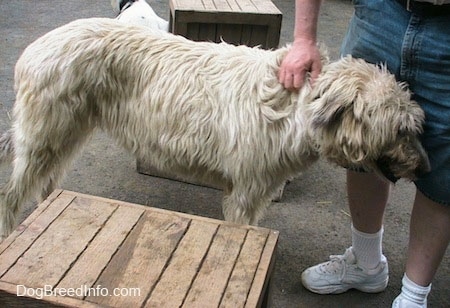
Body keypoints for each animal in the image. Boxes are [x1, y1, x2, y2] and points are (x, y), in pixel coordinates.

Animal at [0, 17, 428, 238]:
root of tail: (32, 50)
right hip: (44, 133)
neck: (298, 107)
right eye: (400, 129)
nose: (425, 168)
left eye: (412, 126)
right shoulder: (246, 189)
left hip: (67, 131)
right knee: (13, 192)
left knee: (48, 178)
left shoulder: (259, 187)